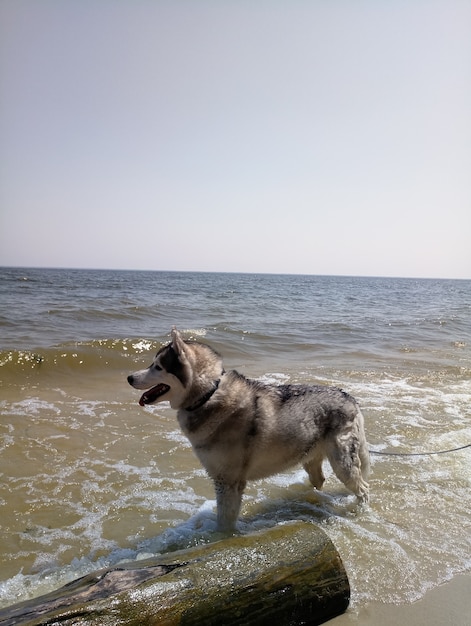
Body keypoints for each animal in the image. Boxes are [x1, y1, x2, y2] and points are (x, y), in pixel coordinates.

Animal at [127, 326, 370, 528]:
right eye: (152, 363)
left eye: (158, 366)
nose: (129, 377)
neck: (208, 396)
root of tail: (350, 397)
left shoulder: (228, 483)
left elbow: (224, 524)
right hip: (310, 459)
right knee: (319, 480)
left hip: (343, 464)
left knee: (364, 488)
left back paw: (360, 512)